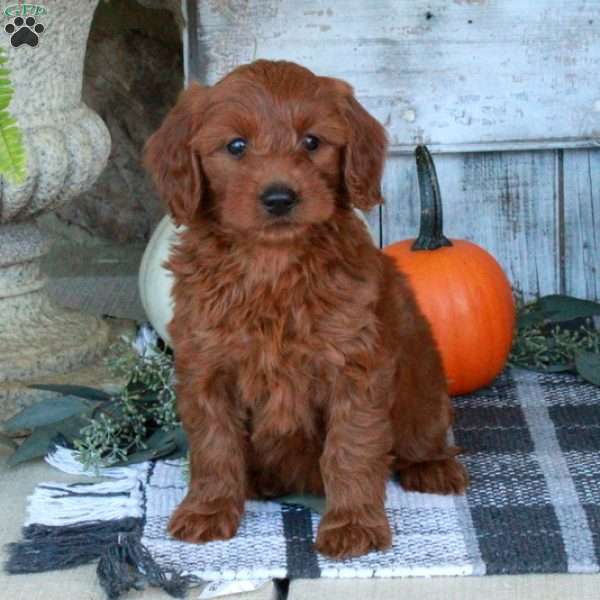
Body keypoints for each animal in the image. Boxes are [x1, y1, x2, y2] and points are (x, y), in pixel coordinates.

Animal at [145, 59, 468, 556]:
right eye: (236, 146)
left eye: (312, 142)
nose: (280, 197)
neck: (272, 265)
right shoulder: (205, 366)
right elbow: (214, 444)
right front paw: (209, 509)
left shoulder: (354, 366)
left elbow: (350, 448)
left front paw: (352, 523)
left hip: (424, 387)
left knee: (423, 434)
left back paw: (432, 467)